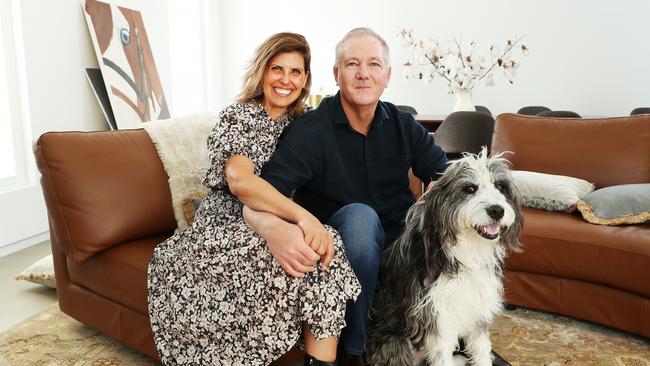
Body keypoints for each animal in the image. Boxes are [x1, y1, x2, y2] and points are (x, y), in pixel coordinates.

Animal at [364, 149, 520, 366]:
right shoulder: (439, 319)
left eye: (500, 186)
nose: (497, 210)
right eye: (469, 188)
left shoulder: (478, 313)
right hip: (394, 343)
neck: (467, 252)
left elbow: (481, 351)